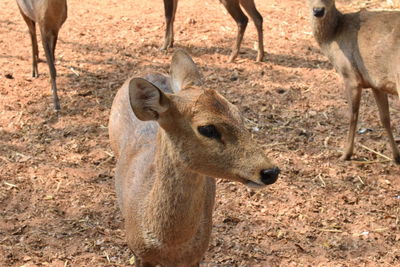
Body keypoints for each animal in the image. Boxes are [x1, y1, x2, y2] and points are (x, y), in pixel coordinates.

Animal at [308, 0, 400, 163]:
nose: (318, 11)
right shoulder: (376, 82)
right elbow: (385, 118)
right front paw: (396, 157)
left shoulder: (350, 76)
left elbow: (353, 115)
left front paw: (345, 154)